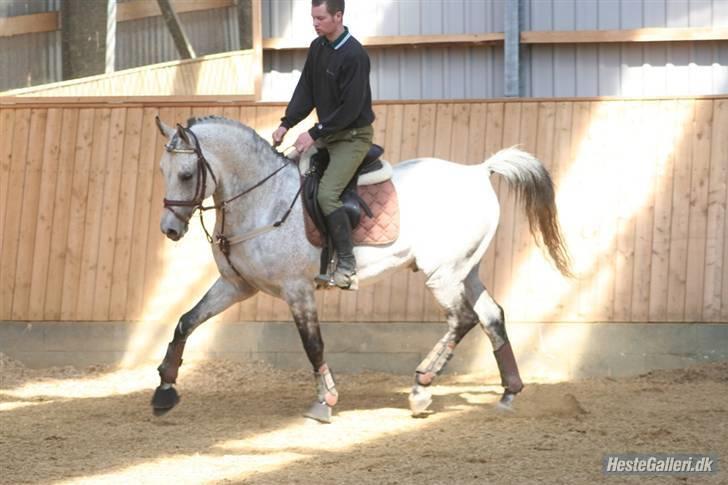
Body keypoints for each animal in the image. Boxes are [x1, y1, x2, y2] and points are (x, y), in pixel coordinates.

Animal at [152, 115, 568, 422]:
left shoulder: (297, 290)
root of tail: (477, 172)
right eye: (162, 171)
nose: (169, 230)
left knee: (462, 319)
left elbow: (313, 344)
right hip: (466, 271)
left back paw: (422, 387)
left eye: (186, 174)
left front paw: (325, 400)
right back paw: (509, 392)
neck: (262, 198)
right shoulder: (235, 286)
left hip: (442, 274)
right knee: (491, 316)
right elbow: (186, 322)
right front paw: (164, 390)